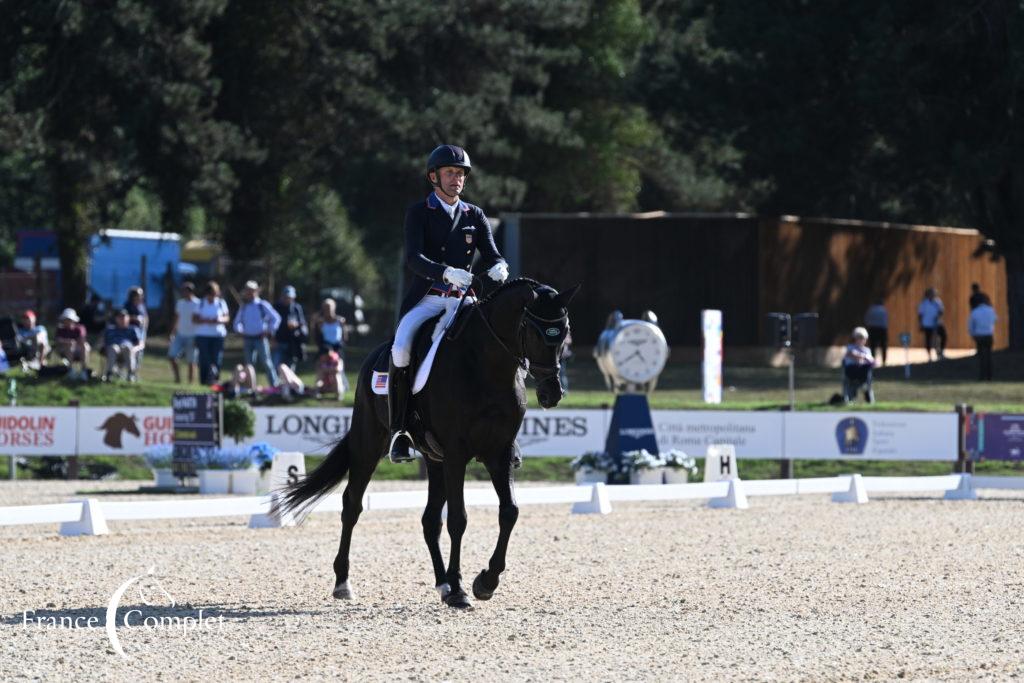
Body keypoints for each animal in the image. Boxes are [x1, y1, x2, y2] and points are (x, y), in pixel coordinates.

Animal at [274, 278, 577, 610]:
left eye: (565, 331)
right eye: (533, 331)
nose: (552, 394)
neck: (486, 366)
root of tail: (374, 354)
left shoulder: (500, 452)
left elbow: (509, 511)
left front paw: (485, 582)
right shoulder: (457, 453)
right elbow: (458, 519)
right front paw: (461, 590)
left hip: (434, 459)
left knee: (430, 520)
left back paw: (442, 584)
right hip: (370, 443)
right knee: (352, 504)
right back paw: (344, 582)